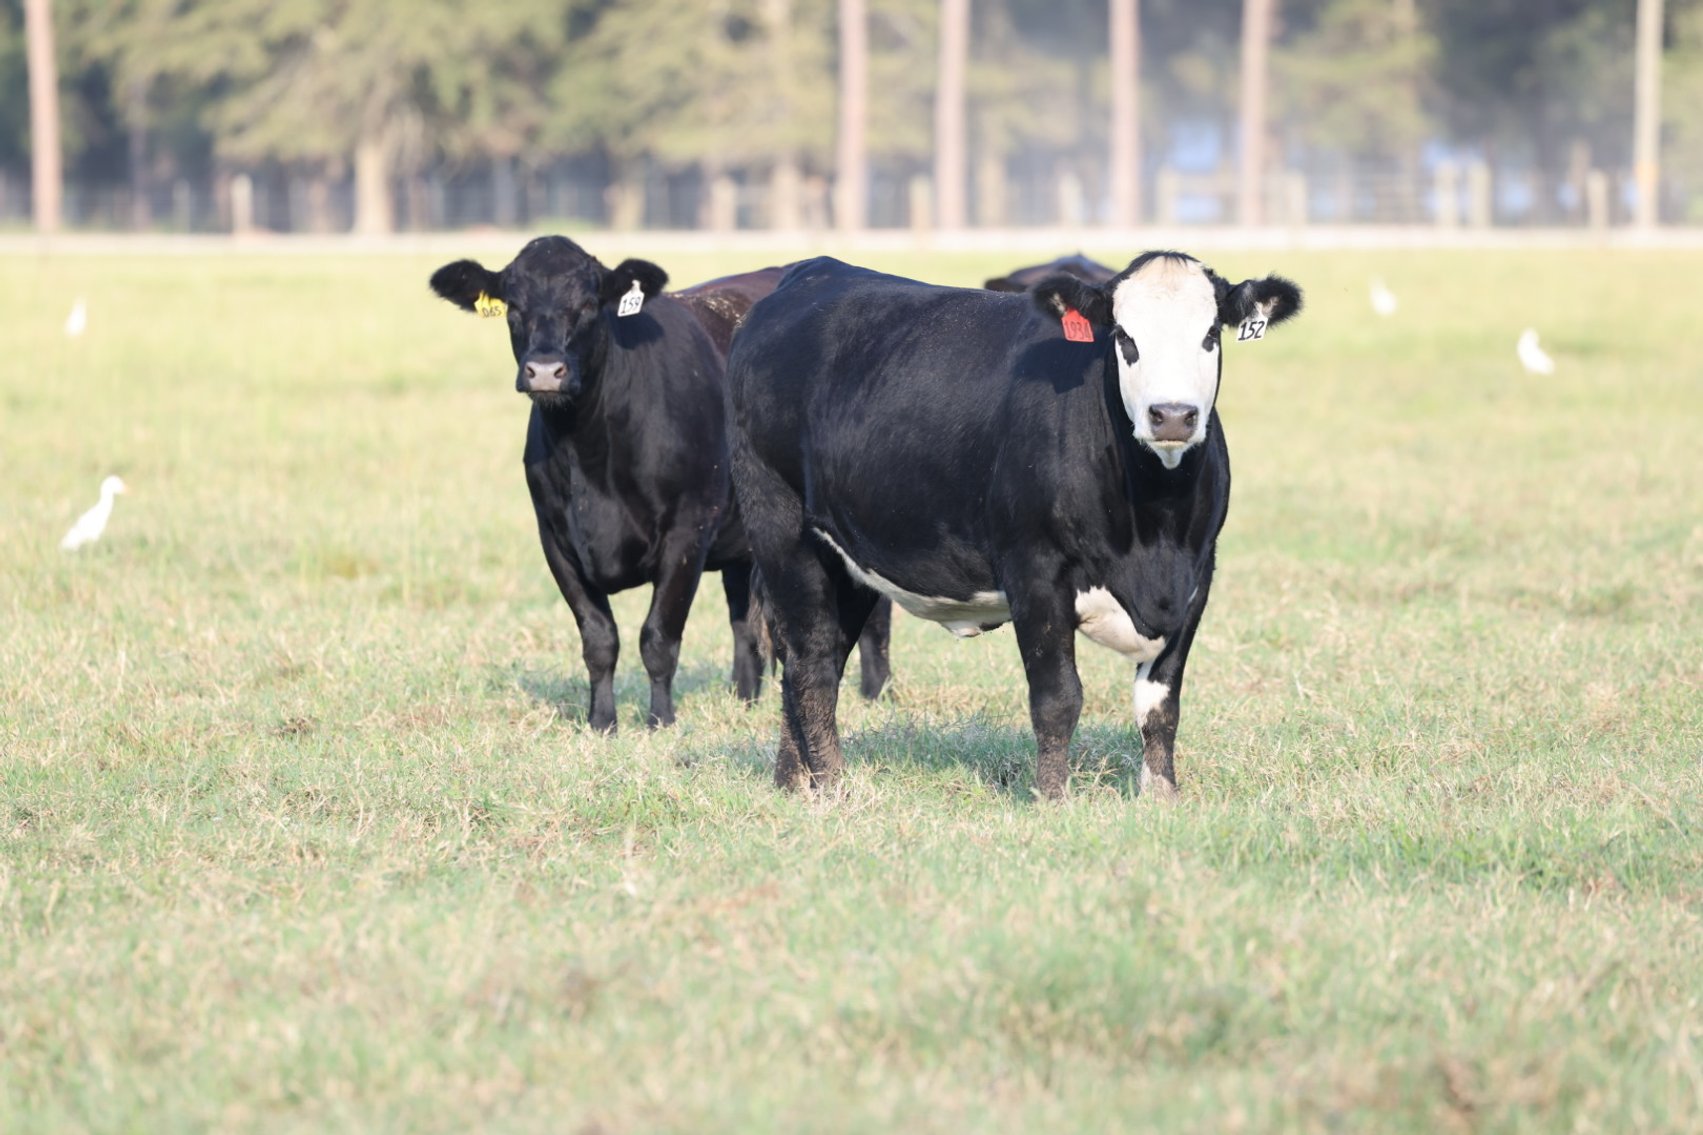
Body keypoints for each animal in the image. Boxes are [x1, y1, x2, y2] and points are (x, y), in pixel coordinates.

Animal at [429, 238, 890, 732]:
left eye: (589, 304)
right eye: (514, 306)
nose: (546, 370)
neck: (588, 456)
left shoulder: (687, 531)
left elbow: (658, 636)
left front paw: (660, 720)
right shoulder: (555, 539)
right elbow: (599, 639)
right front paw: (602, 722)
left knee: (875, 611)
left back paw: (874, 692)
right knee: (744, 619)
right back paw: (744, 697)